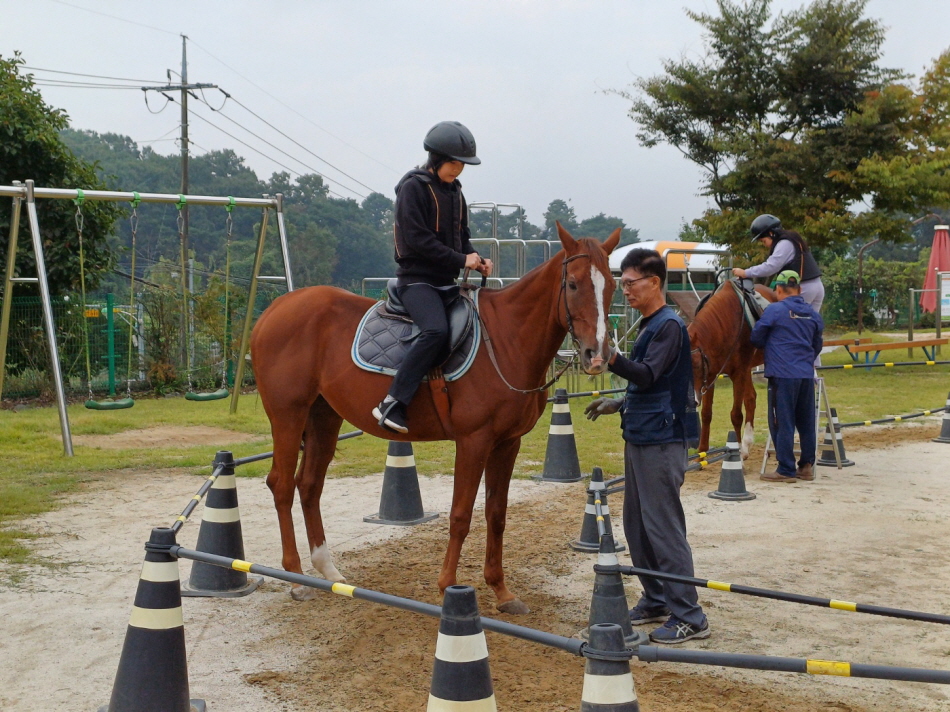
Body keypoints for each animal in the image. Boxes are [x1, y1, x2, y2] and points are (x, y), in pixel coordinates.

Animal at [249, 227, 620, 612]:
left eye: (612, 285)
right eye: (573, 284)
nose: (597, 356)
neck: (506, 339)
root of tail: (276, 308)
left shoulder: (507, 443)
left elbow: (496, 514)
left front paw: (501, 591)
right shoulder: (474, 441)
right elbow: (461, 515)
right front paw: (447, 587)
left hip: (324, 417)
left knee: (309, 485)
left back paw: (327, 571)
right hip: (288, 415)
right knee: (281, 485)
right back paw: (295, 578)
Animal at [688, 280, 776, 458]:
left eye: (697, 365)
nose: (692, 400)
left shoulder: (738, 373)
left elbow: (736, 415)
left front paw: (738, 453)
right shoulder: (711, 376)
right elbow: (706, 413)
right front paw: (702, 452)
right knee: (751, 398)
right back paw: (747, 444)